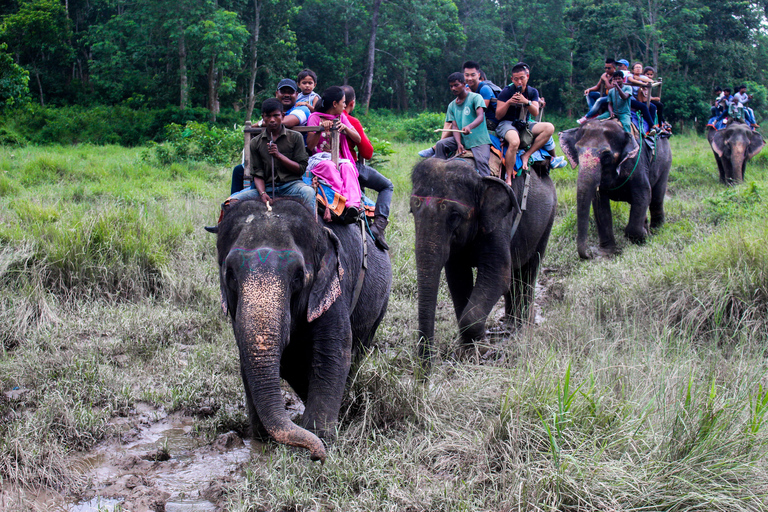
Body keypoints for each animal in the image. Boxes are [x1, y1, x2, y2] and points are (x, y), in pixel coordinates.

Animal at [213, 198, 390, 462]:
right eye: (231, 275)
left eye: (298, 276)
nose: (317, 457)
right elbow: (255, 359)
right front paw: (262, 437)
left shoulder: (333, 285)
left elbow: (332, 353)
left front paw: (321, 436)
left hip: (380, 304)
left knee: (358, 351)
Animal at [412, 158, 556, 370]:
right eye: (412, 211)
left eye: (454, 215)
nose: (425, 372)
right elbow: (457, 278)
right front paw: (467, 349)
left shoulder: (500, 222)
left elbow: (499, 274)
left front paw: (482, 351)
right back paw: (509, 325)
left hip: (547, 220)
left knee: (529, 270)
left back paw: (523, 328)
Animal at [560, 118, 672, 258]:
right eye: (576, 150)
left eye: (607, 155)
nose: (589, 255)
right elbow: (600, 204)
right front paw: (606, 253)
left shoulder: (637, 162)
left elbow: (643, 194)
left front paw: (643, 236)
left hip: (665, 161)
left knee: (656, 197)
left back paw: (656, 230)